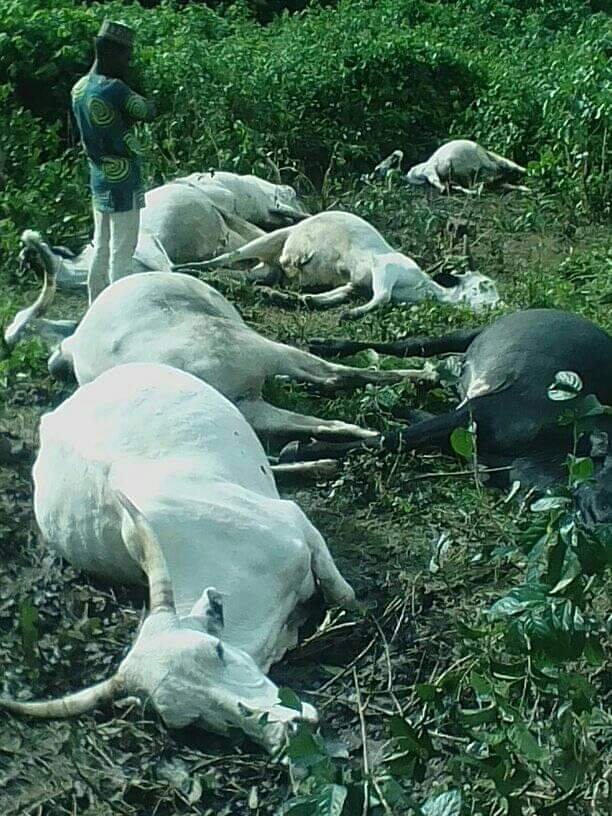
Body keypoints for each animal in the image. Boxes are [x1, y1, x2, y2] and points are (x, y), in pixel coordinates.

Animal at [176, 210, 498, 318]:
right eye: (482, 286)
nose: (500, 305)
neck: (423, 286)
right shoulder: (385, 268)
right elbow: (382, 296)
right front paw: (351, 314)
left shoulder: (354, 283)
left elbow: (342, 293)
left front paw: (308, 299)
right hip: (271, 238)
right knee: (227, 257)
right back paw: (186, 268)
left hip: (267, 267)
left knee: (249, 275)